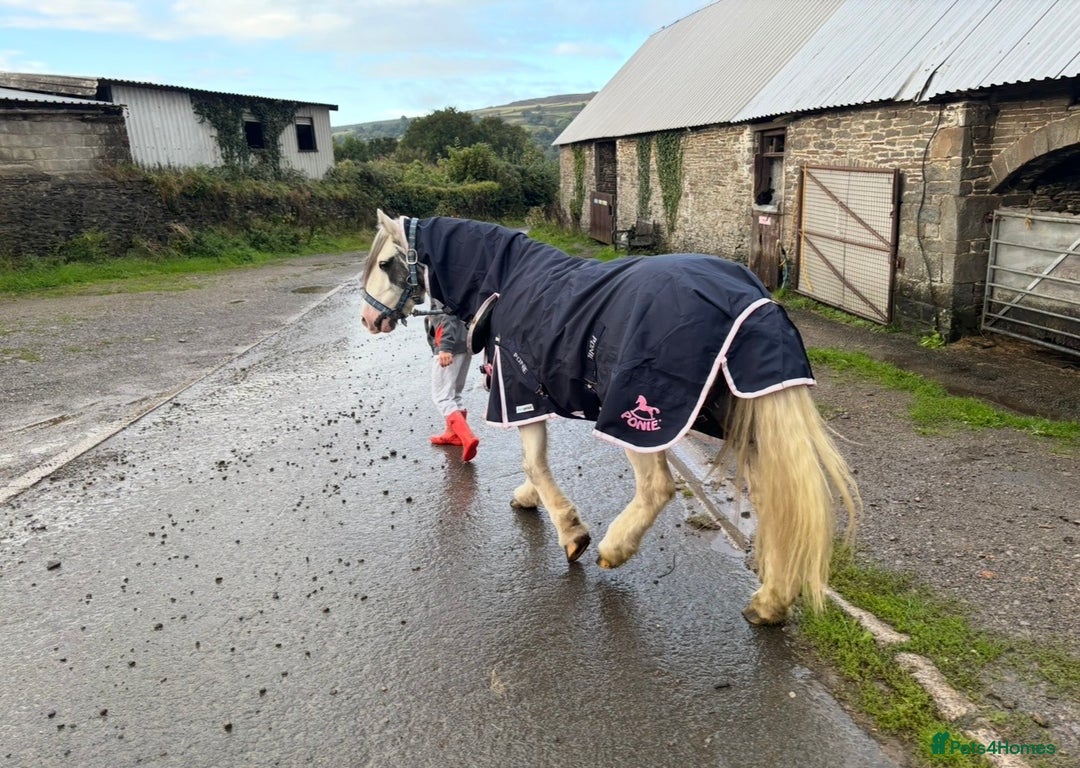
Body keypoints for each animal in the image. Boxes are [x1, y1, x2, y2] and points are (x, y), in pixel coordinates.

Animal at [360, 209, 859, 625]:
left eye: (385, 264)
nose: (367, 319)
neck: (504, 278)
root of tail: (752, 299)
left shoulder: (516, 389)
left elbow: (533, 462)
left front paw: (571, 534)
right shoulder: (542, 392)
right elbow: (534, 462)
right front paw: (528, 499)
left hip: (635, 420)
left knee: (657, 488)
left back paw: (614, 549)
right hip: (743, 414)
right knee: (777, 501)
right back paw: (771, 600)